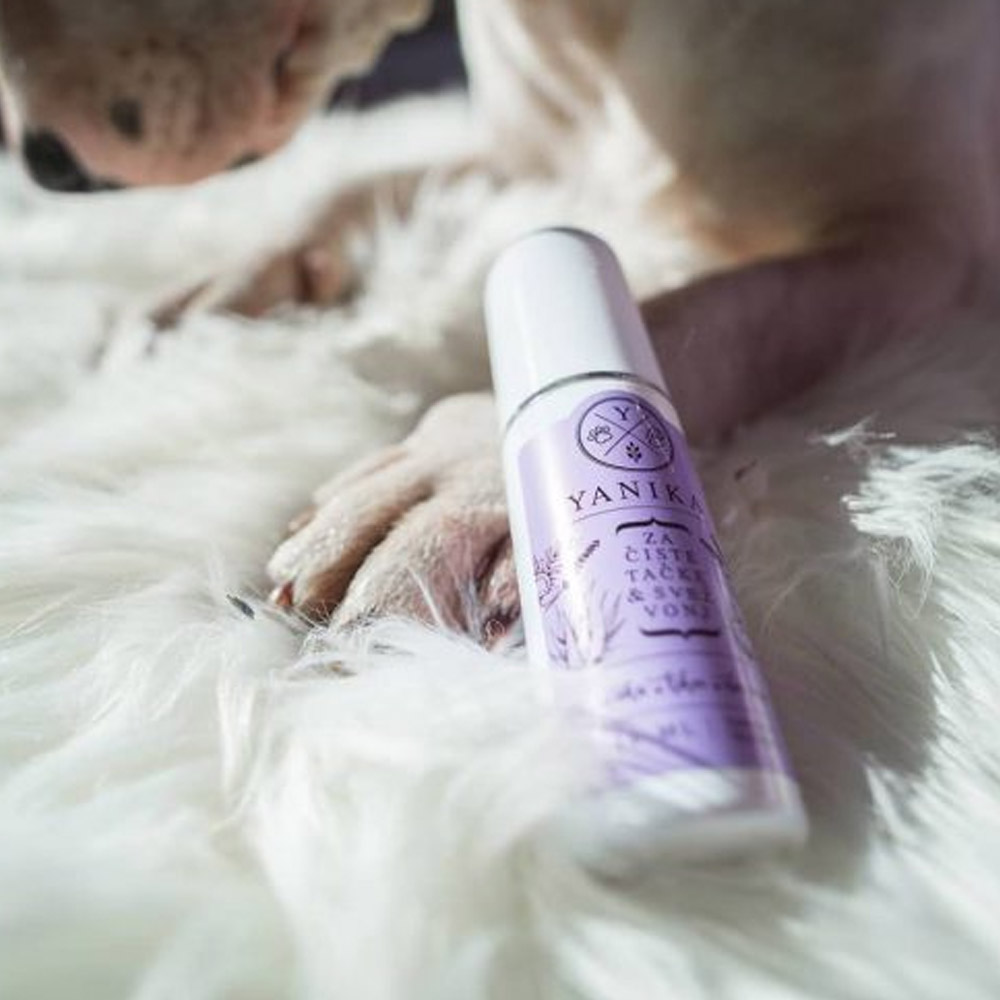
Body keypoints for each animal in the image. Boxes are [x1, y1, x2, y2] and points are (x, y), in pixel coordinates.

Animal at [1, 0, 997, 635]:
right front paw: (220, 289)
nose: (42, 164)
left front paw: (452, 482)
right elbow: (358, 182)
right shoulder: (528, 159)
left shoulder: (919, 254)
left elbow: (700, 317)